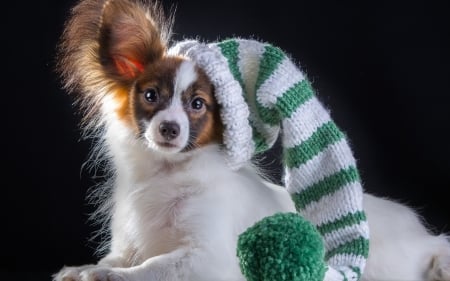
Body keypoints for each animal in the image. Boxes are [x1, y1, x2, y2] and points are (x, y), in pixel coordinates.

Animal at [53, 0, 450, 280]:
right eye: (151, 96)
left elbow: (153, 267)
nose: (169, 129)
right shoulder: (129, 241)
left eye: (198, 104)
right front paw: (86, 268)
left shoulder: (208, 258)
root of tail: (419, 232)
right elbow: (118, 257)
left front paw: (110, 275)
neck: (167, 173)